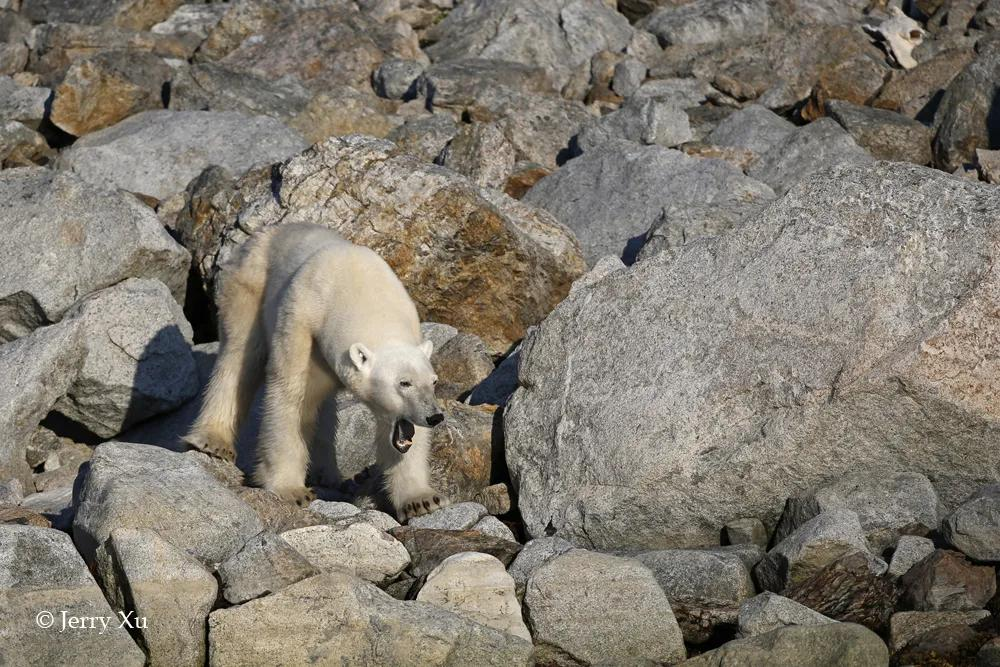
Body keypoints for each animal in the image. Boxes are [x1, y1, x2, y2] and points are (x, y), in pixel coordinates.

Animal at [187, 222, 450, 520]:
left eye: (433, 382)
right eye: (404, 383)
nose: (434, 416)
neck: (361, 290)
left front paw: (422, 500)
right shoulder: (302, 321)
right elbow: (290, 395)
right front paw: (291, 490)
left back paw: (328, 474)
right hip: (250, 285)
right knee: (241, 355)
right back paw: (213, 441)